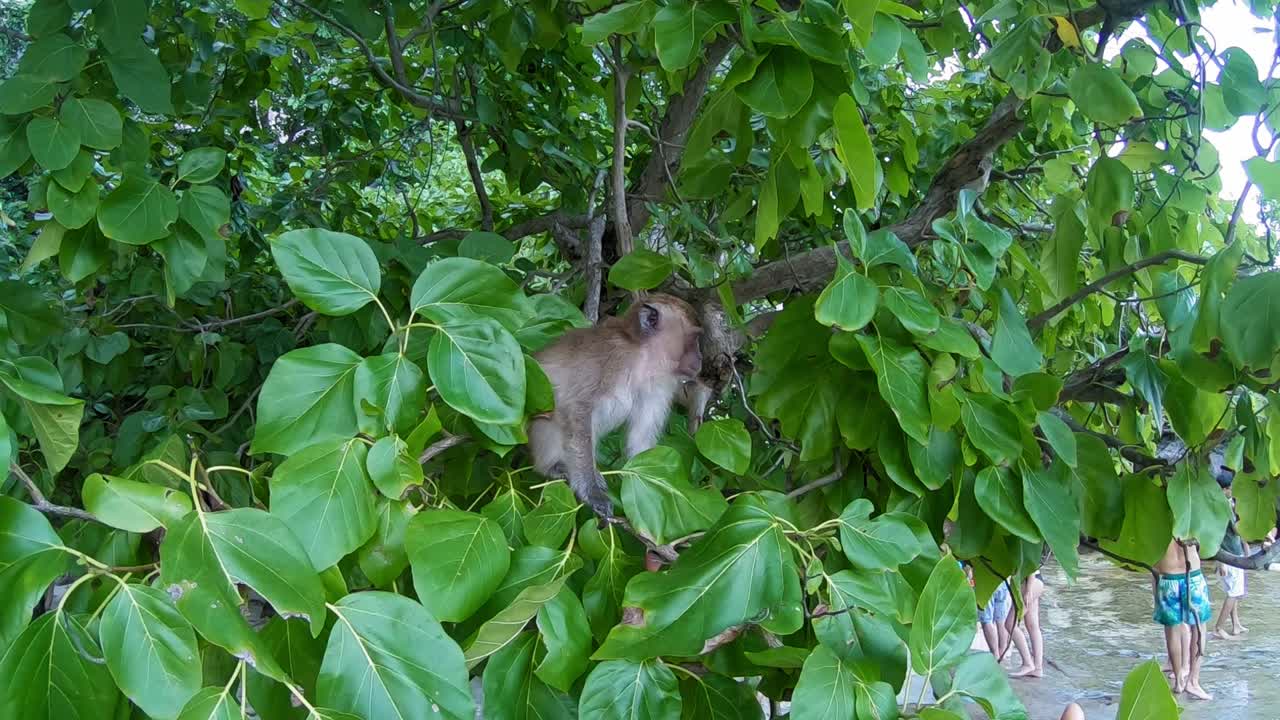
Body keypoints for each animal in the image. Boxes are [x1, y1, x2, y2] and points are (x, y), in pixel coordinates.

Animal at [528, 293, 703, 520]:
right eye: (695, 339)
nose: (700, 358)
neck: (640, 358)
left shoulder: (658, 386)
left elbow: (640, 440)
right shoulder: (606, 358)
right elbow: (577, 410)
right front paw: (591, 492)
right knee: (552, 420)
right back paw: (553, 467)